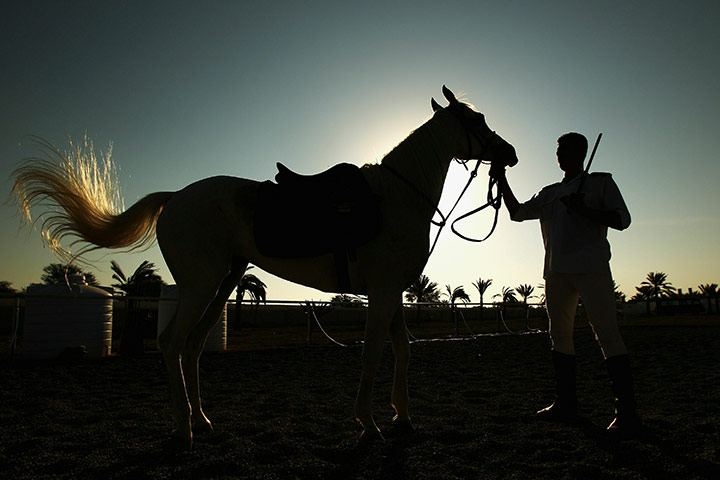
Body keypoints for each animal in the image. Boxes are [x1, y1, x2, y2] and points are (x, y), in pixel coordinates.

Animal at [11, 86, 516, 450]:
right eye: (476, 120)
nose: (509, 153)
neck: (394, 197)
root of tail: (175, 198)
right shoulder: (385, 292)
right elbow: (374, 354)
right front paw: (369, 424)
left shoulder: (391, 292)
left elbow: (403, 353)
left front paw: (403, 419)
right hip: (201, 285)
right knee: (171, 343)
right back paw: (182, 428)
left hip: (224, 282)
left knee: (192, 347)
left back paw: (202, 421)